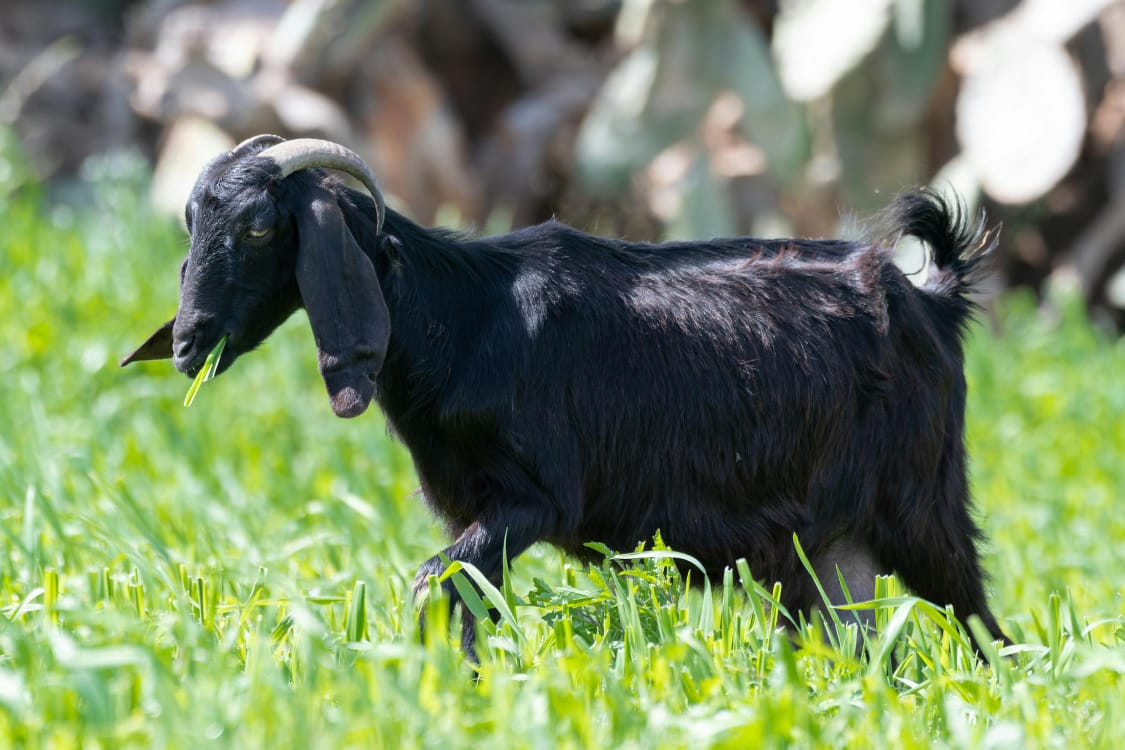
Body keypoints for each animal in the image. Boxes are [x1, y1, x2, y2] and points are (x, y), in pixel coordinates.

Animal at [123, 134, 1012, 656]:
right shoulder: (475, 508)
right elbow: (466, 597)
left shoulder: (536, 497)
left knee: (976, 618)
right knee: (849, 635)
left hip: (921, 501)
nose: (187, 343)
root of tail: (929, 297)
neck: (457, 316)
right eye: (192, 220)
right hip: (820, 542)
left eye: (260, 228)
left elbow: (435, 582)